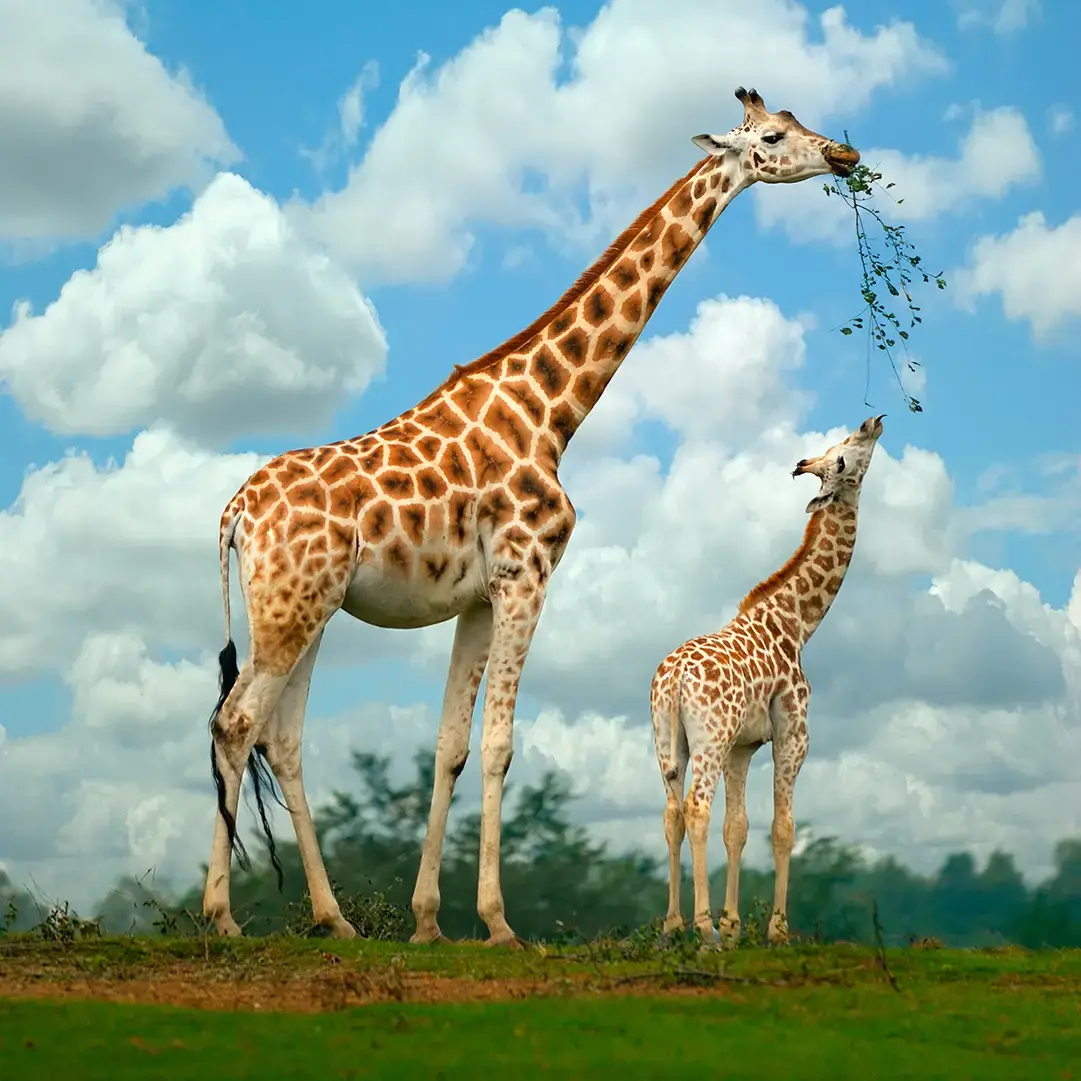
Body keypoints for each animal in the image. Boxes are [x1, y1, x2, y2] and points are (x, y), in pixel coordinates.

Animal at [202, 87, 862, 945]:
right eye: (775, 135)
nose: (845, 156)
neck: (551, 412)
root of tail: (234, 512)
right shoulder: (527, 575)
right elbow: (498, 745)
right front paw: (496, 921)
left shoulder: (479, 597)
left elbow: (450, 745)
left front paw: (426, 920)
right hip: (290, 607)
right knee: (235, 721)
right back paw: (221, 914)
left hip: (304, 607)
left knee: (278, 737)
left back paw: (332, 917)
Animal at [650, 415, 885, 947]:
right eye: (843, 458)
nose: (873, 422)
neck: (797, 624)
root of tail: (673, 681)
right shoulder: (792, 733)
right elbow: (784, 828)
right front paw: (775, 930)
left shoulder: (742, 747)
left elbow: (737, 827)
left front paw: (735, 925)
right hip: (708, 739)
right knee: (696, 807)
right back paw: (701, 928)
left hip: (666, 741)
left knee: (673, 814)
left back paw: (673, 925)